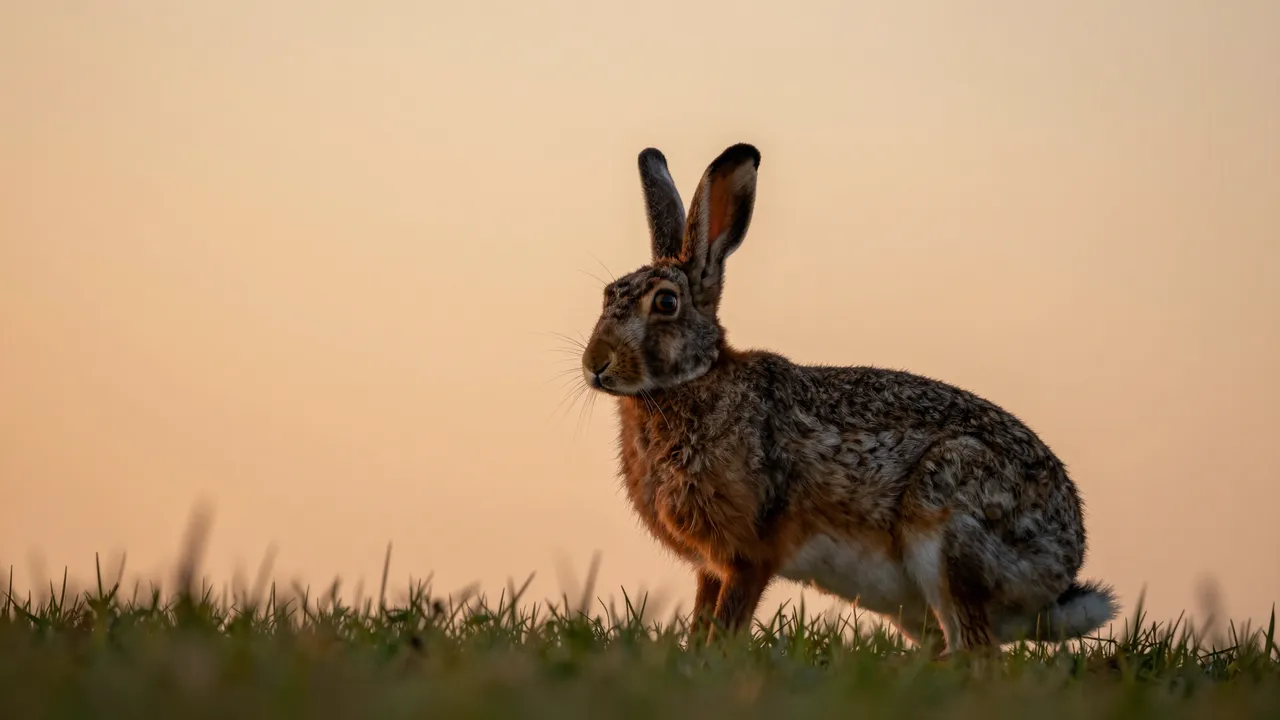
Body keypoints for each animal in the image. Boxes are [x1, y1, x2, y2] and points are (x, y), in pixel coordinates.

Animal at [579, 143, 1119, 654]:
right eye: (607, 294)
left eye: (666, 302)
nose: (595, 364)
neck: (691, 382)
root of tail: (1062, 567)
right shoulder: (710, 567)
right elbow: (702, 617)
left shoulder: (749, 553)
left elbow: (727, 621)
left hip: (947, 527)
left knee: (977, 651)